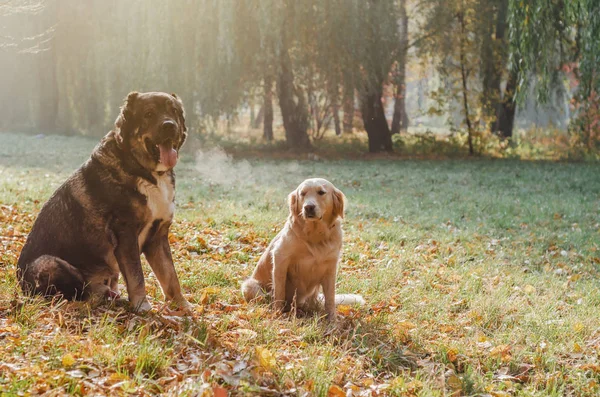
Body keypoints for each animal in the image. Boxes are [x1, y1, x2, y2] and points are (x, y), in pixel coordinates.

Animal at [17, 91, 190, 310]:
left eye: (174, 111)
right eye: (149, 114)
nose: (169, 125)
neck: (144, 171)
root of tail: (22, 285)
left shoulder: (157, 235)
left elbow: (170, 275)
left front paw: (182, 306)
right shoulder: (125, 233)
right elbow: (137, 275)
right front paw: (141, 306)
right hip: (49, 263)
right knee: (77, 292)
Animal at [241, 178, 364, 320]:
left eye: (321, 192)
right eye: (302, 194)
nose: (308, 207)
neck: (315, 235)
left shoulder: (331, 267)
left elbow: (330, 299)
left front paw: (333, 320)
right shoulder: (280, 258)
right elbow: (279, 292)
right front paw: (278, 315)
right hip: (250, 286)